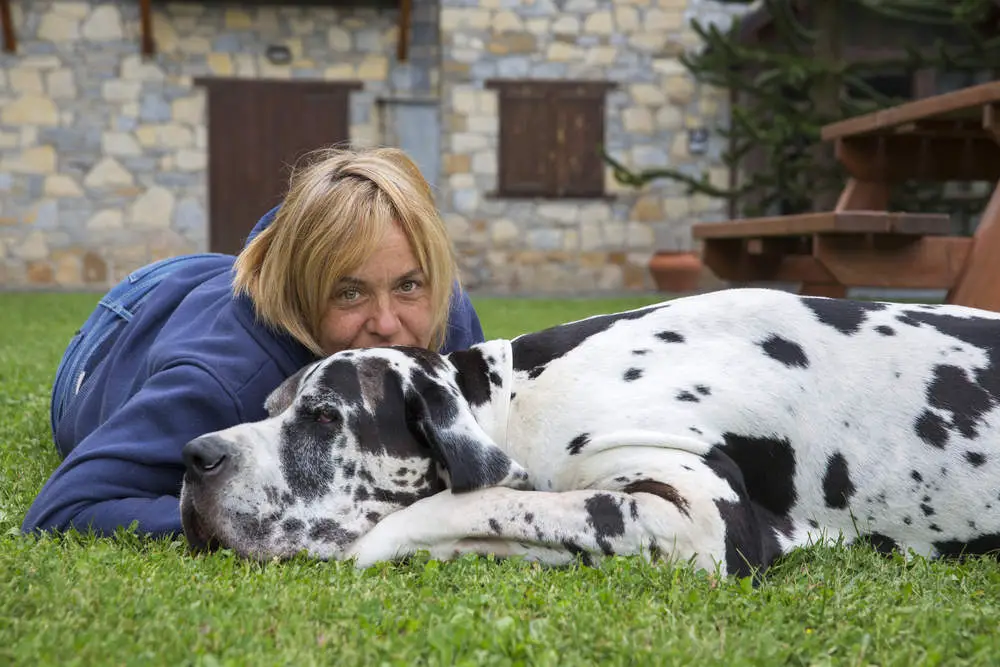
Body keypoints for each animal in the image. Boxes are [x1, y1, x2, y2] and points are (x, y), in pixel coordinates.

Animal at [180, 290, 1000, 576]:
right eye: (270, 405)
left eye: (324, 415)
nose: (195, 455)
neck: (518, 396)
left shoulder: (700, 520)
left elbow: (481, 500)